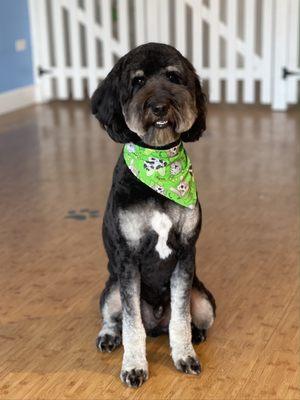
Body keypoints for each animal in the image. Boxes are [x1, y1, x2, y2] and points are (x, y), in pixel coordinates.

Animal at [91, 43, 216, 388]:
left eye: (173, 77)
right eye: (137, 81)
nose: (159, 106)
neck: (158, 164)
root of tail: (156, 323)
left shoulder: (185, 253)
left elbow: (181, 318)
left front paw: (184, 354)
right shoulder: (128, 260)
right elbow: (132, 325)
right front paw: (134, 366)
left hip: (205, 300)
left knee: (188, 318)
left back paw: (196, 334)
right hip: (110, 289)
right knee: (115, 319)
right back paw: (108, 336)